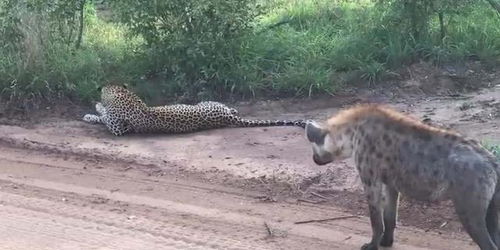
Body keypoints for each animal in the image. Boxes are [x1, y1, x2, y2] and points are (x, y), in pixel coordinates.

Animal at [302, 103, 500, 250]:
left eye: (313, 149)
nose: (314, 159)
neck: (352, 134)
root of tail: (491, 160)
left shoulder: (370, 177)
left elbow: (375, 217)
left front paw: (371, 245)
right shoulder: (390, 182)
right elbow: (390, 215)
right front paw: (386, 242)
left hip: (468, 204)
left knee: (486, 240)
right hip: (492, 204)